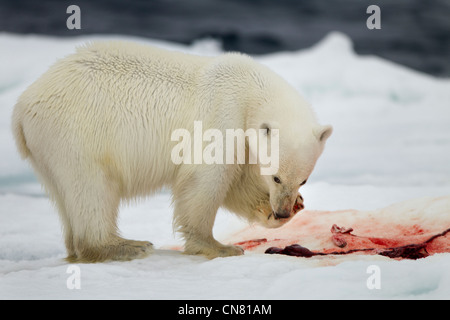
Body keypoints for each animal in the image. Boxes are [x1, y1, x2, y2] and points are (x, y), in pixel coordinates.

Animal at [12, 41, 332, 262]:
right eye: (275, 177)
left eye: (302, 180)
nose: (281, 210)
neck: (250, 90)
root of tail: (22, 108)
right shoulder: (224, 113)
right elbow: (207, 178)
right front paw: (219, 246)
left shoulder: (242, 135)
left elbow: (237, 182)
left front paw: (286, 210)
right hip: (77, 133)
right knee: (92, 188)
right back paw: (125, 246)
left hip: (49, 150)